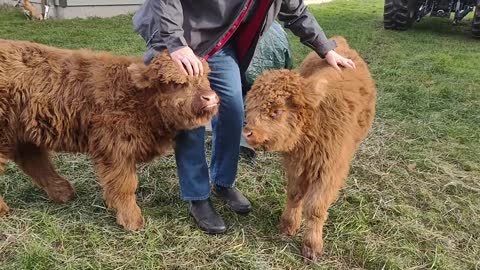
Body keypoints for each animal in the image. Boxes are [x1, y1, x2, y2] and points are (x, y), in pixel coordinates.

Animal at [0, 39, 219, 230]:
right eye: (175, 83)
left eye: (205, 78)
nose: (210, 98)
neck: (139, 99)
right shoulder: (115, 149)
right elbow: (124, 185)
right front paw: (132, 221)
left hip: (22, 134)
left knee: (34, 161)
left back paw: (63, 193)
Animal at [244, 36, 376, 262]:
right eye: (250, 105)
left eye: (276, 111)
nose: (248, 132)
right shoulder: (296, 164)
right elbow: (294, 194)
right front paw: (288, 226)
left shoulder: (329, 170)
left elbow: (315, 208)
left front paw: (312, 246)